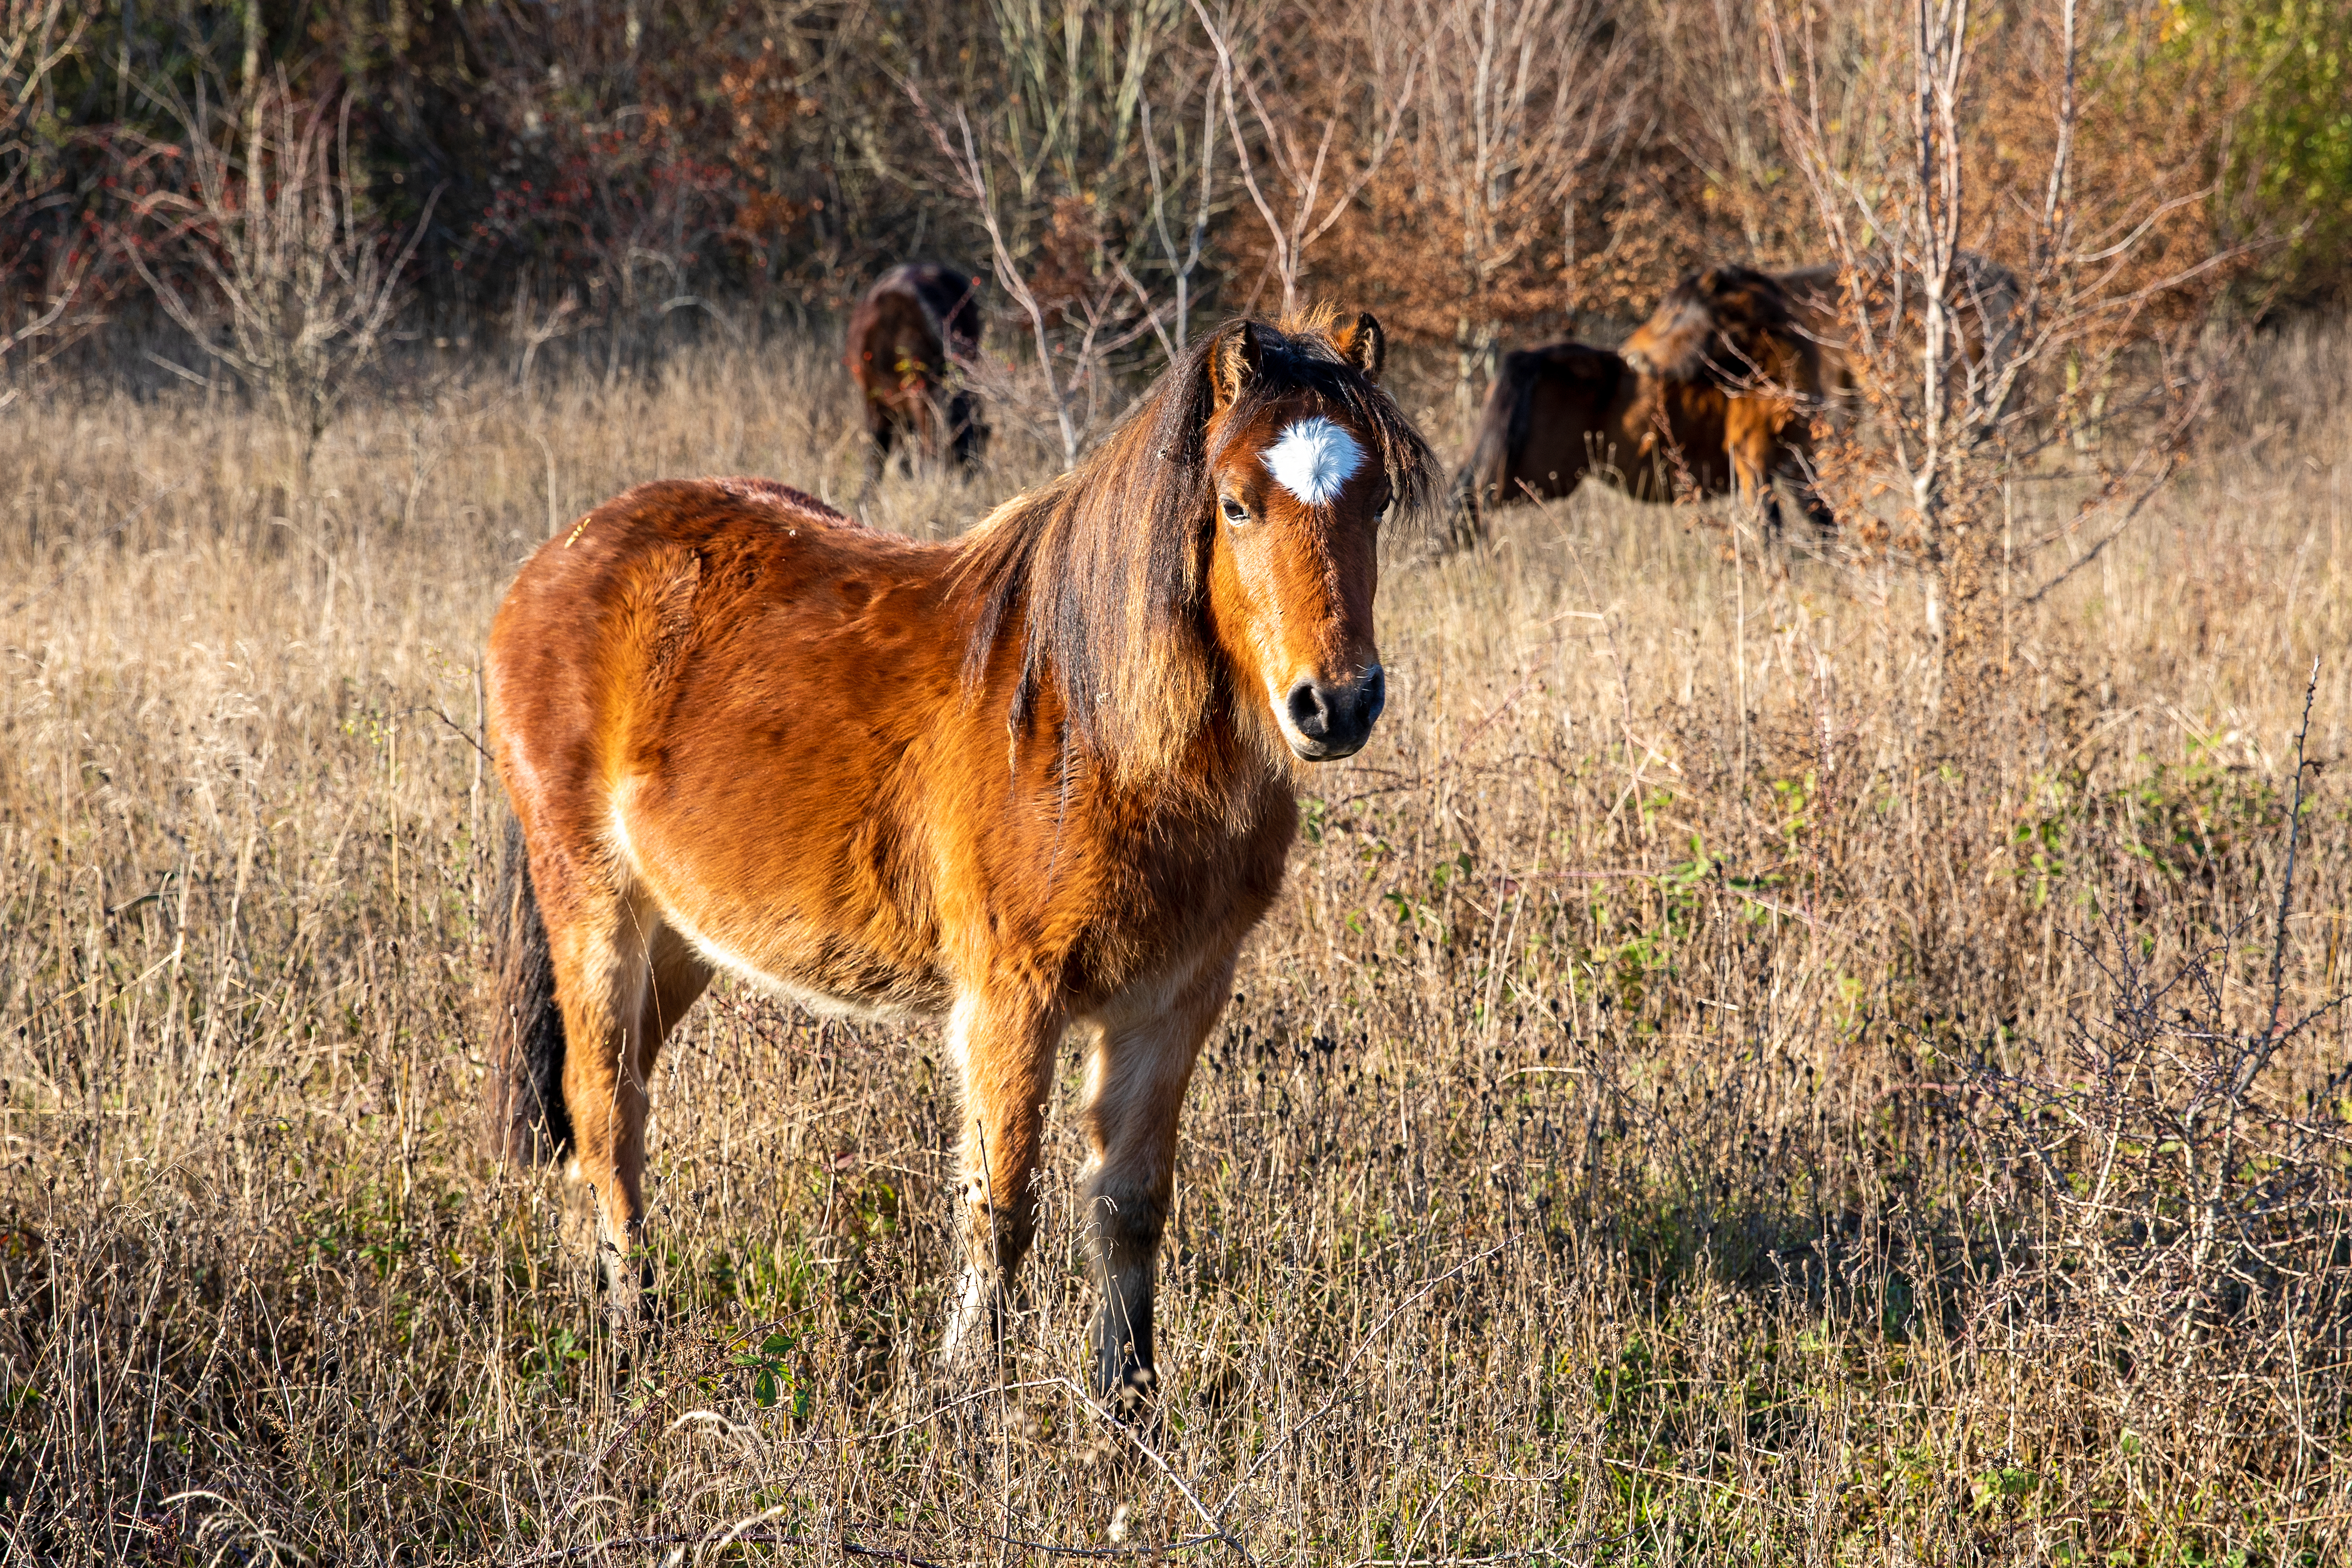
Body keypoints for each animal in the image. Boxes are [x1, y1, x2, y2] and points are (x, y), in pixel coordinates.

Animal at [483, 307, 1437, 1408]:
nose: (1337, 704)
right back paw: (633, 1336)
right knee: (605, 1114)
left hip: (681, 937)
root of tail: (559, 559)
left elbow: (1132, 1205)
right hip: (594, 907)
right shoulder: (1011, 1000)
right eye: (1237, 503)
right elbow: (1001, 1208)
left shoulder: (1175, 1000)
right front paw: (967, 1399)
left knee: (612, 1104)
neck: (1096, 728)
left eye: (1377, 500)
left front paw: (1128, 1407)